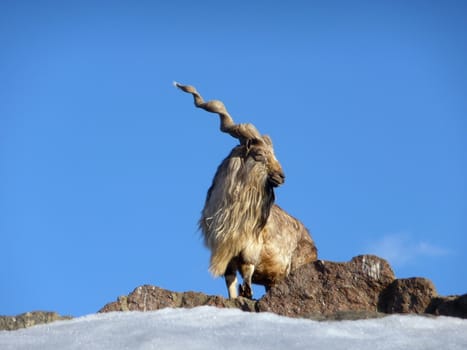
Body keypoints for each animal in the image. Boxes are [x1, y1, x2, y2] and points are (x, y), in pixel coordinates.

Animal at [176, 82, 318, 298]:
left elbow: (247, 276)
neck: (230, 211)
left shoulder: (249, 249)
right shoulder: (226, 255)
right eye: (259, 154)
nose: (281, 176)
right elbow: (231, 283)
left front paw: (247, 295)